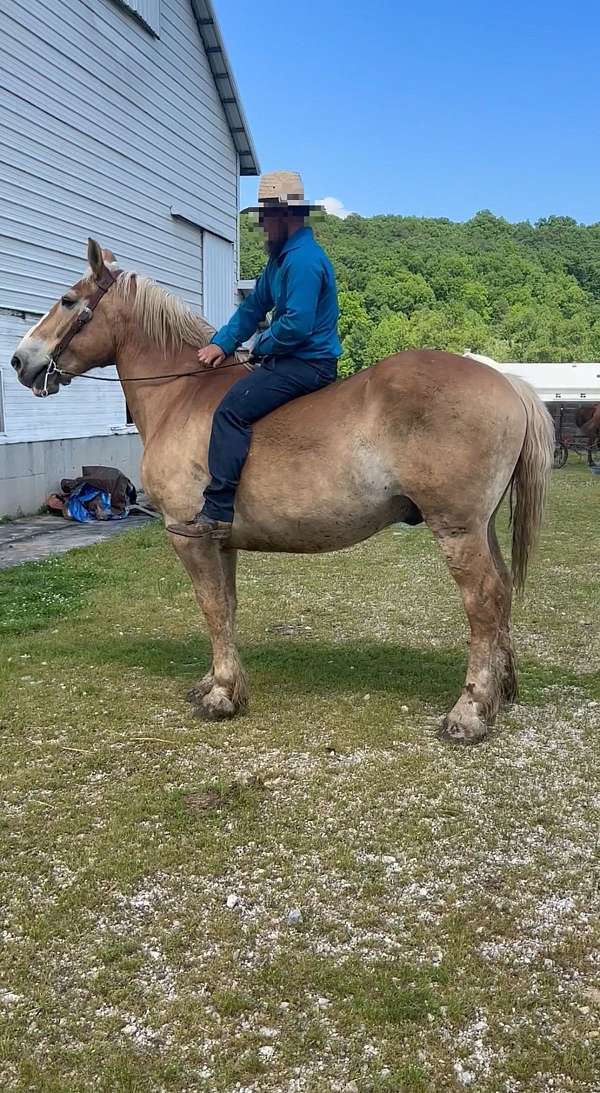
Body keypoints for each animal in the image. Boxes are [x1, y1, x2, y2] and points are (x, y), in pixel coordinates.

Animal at [10, 238, 553, 743]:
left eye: (66, 300)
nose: (19, 361)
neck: (183, 396)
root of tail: (507, 382)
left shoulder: (188, 536)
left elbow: (211, 607)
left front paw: (223, 695)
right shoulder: (219, 541)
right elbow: (226, 607)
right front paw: (215, 682)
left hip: (457, 530)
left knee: (482, 601)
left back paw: (470, 711)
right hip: (480, 528)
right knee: (502, 592)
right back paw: (501, 691)